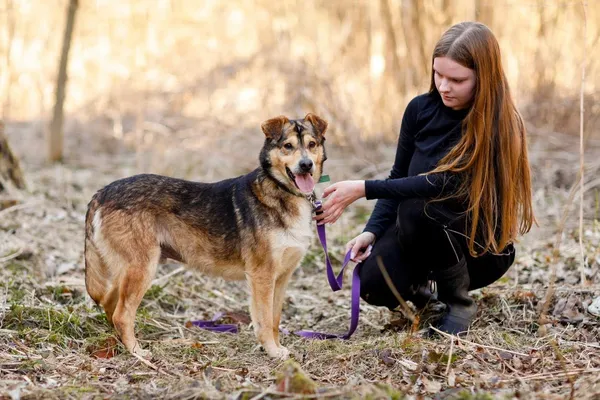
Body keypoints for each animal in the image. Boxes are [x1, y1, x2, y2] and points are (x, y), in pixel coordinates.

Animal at [84, 113, 328, 360]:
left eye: (312, 144)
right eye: (288, 146)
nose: (306, 165)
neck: (280, 190)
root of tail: (102, 193)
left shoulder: (282, 277)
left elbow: (275, 319)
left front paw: (276, 348)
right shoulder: (262, 276)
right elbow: (265, 321)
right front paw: (271, 350)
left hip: (129, 270)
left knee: (111, 304)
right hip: (142, 269)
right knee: (122, 314)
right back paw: (137, 351)